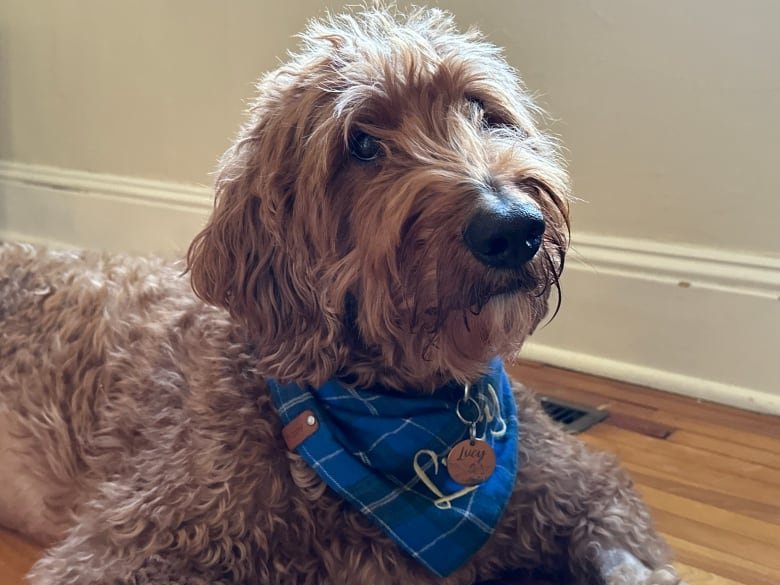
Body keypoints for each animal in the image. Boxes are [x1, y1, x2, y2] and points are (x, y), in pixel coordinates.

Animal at [0, 5, 684, 584]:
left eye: (483, 111)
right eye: (361, 144)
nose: (514, 228)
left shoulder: (581, 483)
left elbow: (627, 550)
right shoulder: (138, 535)